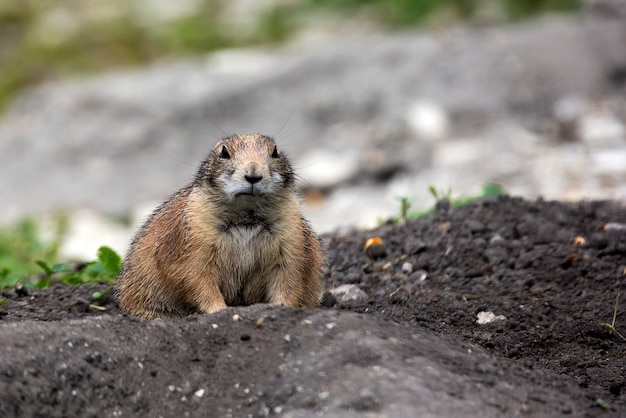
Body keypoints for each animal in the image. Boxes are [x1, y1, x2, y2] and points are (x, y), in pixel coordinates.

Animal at [114, 134, 324, 320]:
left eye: (275, 152)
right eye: (224, 152)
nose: (253, 174)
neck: (246, 216)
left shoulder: (291, 239)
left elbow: (290, 277)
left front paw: (282, 308)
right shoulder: (194, 240)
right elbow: (197, 279)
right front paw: (220, 310)